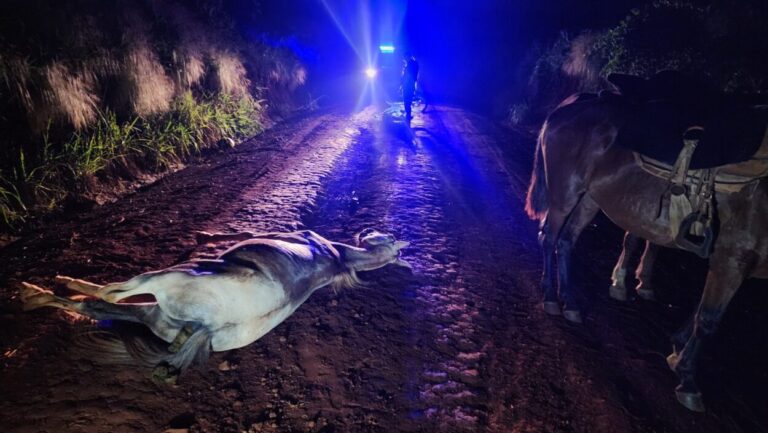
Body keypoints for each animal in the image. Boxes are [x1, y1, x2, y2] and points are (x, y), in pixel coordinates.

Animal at [21, 228, 412, 376]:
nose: (367, 231)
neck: (336, 258)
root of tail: (209, 327)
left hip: (164, 281)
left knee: (106, 295)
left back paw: (36, 289)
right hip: (156, 316)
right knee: (96, 306)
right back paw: (35, 297)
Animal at [524, 93, 768, 410]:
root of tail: (572, 103)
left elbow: (700, 312)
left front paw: (677, 349)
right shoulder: (731, 259)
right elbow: (708, 320)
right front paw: (687, 379)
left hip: (590, 199)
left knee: (566, 242)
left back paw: (571, 303)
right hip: (565, 194)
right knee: (549, 239)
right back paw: (551, 297)